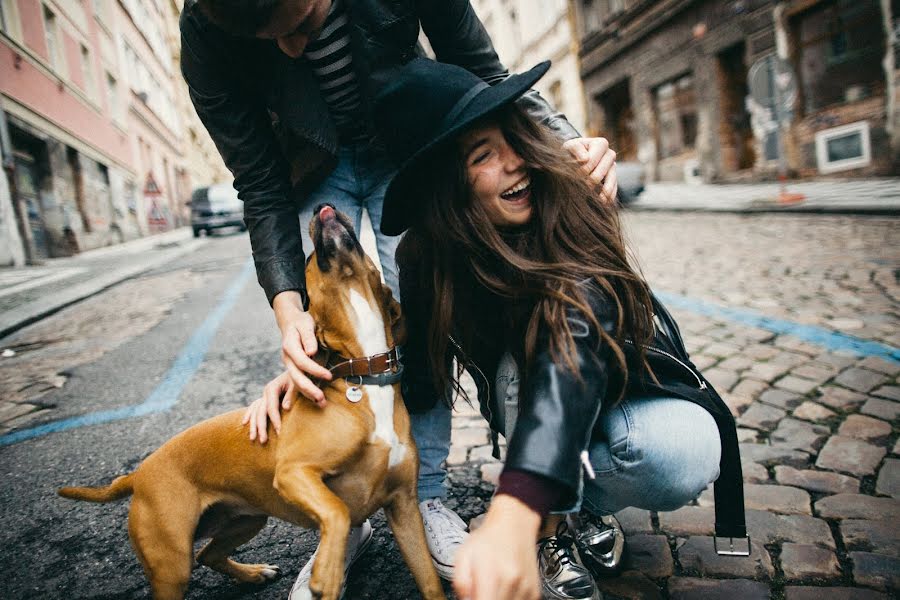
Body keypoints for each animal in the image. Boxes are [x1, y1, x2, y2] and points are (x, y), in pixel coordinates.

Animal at [59, 205, 446, 600]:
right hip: (172, 567)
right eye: (308, 259)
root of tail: (137, 475)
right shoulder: (293, 473)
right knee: (194, 561)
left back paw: (253, 573)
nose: (323, 207)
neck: (364, 374)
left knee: (208, 554)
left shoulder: (404, 510)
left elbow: (430, 581)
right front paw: (326, 571)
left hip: (245, 520)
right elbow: (336, 510)